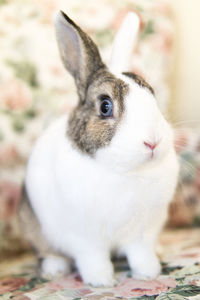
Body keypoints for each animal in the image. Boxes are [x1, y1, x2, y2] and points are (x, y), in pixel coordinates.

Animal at [19, 10, 180, 288]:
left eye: (153, 95)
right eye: (105, 106)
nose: (153, 141)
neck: (124, 171)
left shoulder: (143, 232)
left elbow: (141, 254)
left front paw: (149, 273)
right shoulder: (86, 238)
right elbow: (94, 259)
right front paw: (102, 282)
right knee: (48, 252)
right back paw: (54, 269)